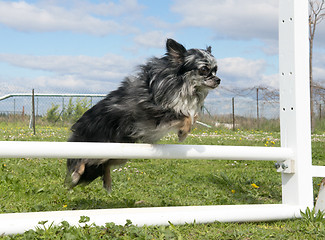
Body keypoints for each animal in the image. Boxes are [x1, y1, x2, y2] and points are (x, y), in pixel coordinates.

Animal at [64, 39, 219, 193]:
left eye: (216, 69)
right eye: (204, 69)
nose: (218, 80)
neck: (182, 85)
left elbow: (194, 116)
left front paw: (186, 130)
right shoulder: (155, 112)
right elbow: (183, 115)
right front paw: (183, 133)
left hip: (120, 152)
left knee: (104, 164)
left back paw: (107, 182)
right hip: (95, 145)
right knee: (81, 161)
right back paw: (76, 175)